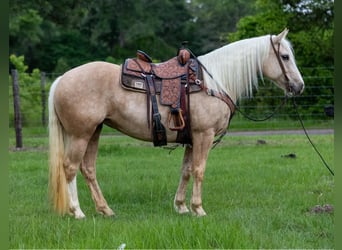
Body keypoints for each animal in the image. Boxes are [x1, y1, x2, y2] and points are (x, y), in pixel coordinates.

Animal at [48, 28, 304, 218]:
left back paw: (105, 210)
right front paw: (198, 208)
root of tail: (61, 79)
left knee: (88, 168)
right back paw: (77, 211)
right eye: (285, 57)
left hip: (94, 131)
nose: (299, 86)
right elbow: (199, 169)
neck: (213, 82)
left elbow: (187, 170)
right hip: (80, 134)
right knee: (70, 167)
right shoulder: (204, 135)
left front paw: (181, 206)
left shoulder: (191, 139)